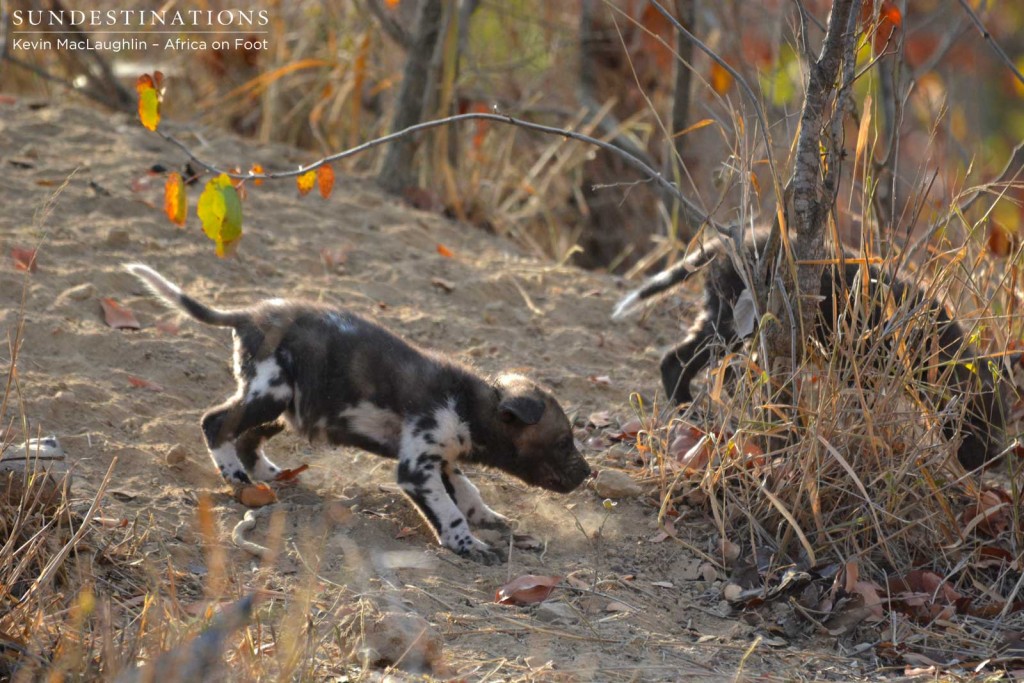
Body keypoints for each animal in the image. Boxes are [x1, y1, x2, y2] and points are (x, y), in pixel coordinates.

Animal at [125, 264, 593, 565]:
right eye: (563, 441)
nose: (588, 473)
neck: (471, 404)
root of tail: (250, 314)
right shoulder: (418, 469)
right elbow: (450, 512)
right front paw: (468, 544)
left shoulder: (441, 462)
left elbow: (469, 494)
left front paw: (488, 520)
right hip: (271, 394)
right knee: (216, 423)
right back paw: (236, 479)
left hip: (285, 406)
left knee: (246, 437)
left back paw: (270, 476)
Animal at [610, 229, 1011, 471]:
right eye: (978, 419)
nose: (994, 462)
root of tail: (730, 244)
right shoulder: (860, 366)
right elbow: (859, 409)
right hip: (735, 324)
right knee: (677, 360)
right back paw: (690, 412)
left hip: (724, 321)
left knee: (678, 359)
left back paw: (690, 412)